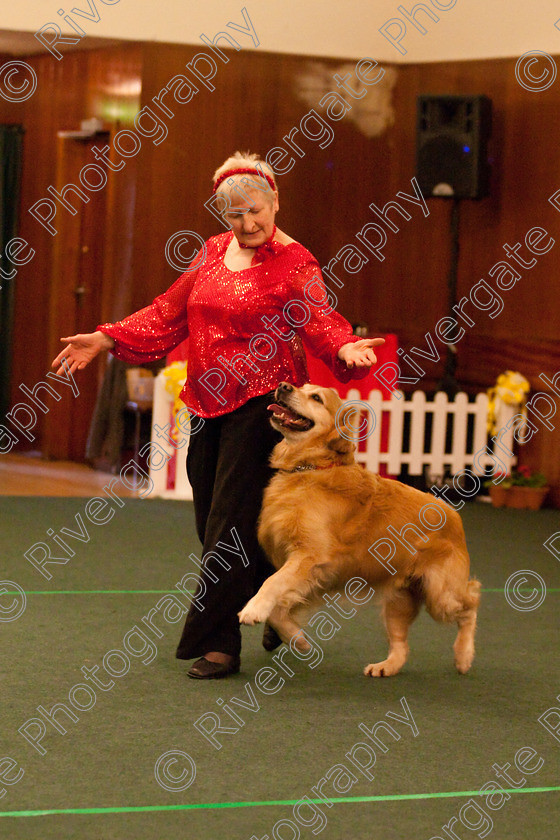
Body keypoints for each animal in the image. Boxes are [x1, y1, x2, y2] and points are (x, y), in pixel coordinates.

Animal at [237, 380, 482, 676]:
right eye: (301, 386)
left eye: (316, 398)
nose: (283, 386)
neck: (312, 468)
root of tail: (454, 516)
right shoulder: (315, 577)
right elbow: (278, 610)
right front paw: (297, 639)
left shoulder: (311, 557)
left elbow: (271, 582)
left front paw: (253, 610)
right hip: (400, 599)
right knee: (401, 646)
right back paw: (385, 666)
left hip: (441, 594)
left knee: (472, 601)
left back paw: (464, 656)